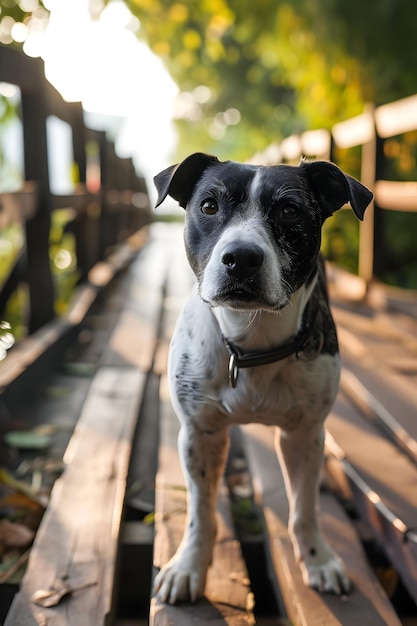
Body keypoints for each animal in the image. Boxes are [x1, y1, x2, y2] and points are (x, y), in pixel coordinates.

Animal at [152, 150, 370, 600]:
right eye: (209, 206)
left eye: (290, 210)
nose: (242, 257)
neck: (251, 342)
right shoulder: (199, 434)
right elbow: (201, 512)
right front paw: (189, 566)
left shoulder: (304, 434)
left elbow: (304, 509)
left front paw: (317, 559)